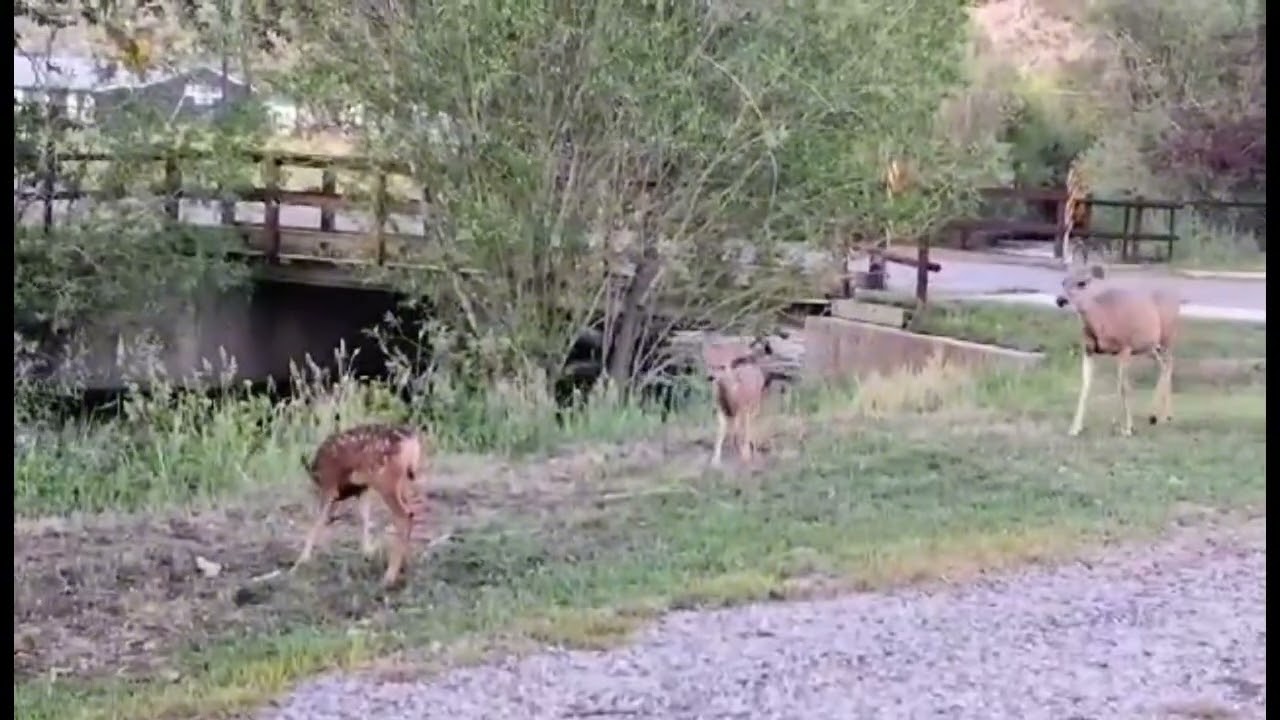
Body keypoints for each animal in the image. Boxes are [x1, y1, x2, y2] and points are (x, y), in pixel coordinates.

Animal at [291, 423, 426, 587]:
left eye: (315, 489)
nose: (333, 517)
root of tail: (412, 441)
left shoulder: (329, 483)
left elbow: (317, 520)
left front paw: (300, 561)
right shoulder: (362, 488)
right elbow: (364, 517)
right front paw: (367, 551)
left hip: (385, 480)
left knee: (404, 515)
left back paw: (388, 577)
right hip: (403, 482)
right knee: (410, 512)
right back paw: (405, 565)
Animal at [702, 337, 776, 467]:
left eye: (722, 366)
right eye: (709, 365)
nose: (710, 377)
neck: (731, 398)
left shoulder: (742, 409)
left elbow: (740, 431)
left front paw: (745, 455)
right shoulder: (720, 409)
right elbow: (721, 431)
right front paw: (715, 460)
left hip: (755, 404)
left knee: (750, 425)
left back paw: (752, 451)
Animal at [1054, 264, 1181, 438]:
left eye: (1082, 283)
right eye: (1063, 282)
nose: (1060, 300)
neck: (1102, 320)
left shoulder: (1125, 347)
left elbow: (1123, 387)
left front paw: (1128, 428)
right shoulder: (1089, 350)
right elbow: (1086, 386)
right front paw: (1075, 428)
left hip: (1167, 337)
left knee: (1169, 364)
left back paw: (1162, 416)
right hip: (1150, 347)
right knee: (1163, 366)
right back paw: (1154, 416)